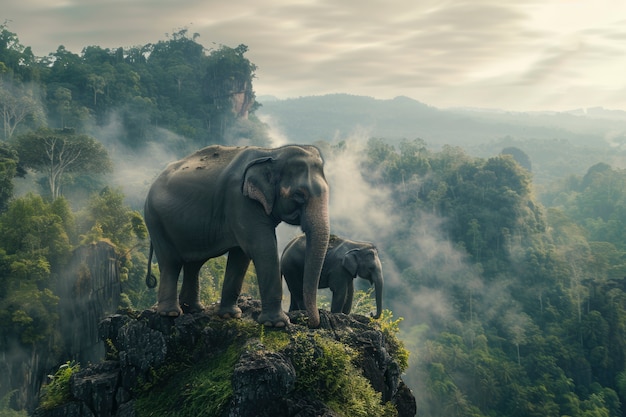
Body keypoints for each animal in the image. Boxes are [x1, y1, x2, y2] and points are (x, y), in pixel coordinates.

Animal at [144, 145, 330, 326]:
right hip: (155, 220)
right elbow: (262, 248)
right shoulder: (240, 201)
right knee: (171, 262)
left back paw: (194, 310)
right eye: (299, 195)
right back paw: (170, 313)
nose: (310, 322)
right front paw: (277, 324)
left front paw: (230, 315)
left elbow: (240, 256)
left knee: (193, 264)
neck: (272, 153)